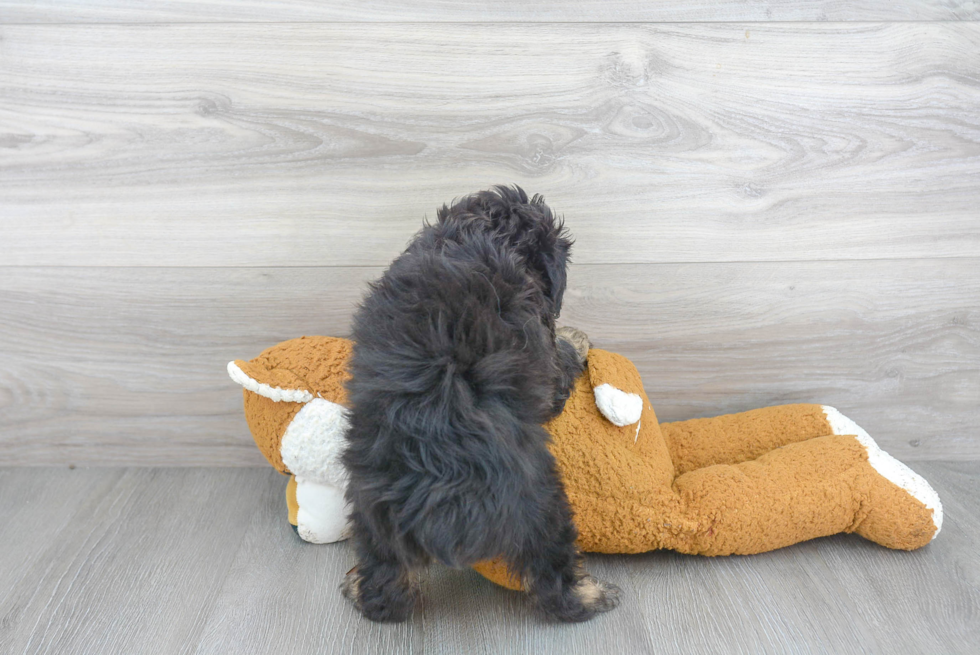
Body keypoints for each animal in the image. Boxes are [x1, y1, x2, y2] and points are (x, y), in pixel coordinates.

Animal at [342, 186, 620, 624]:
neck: (476, 237)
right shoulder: (546, 358)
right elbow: (563, 356)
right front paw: (578, 337)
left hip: (371, 510)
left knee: (383, 581)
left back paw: (360, 590)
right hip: (541, 501)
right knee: (554, 574)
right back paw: (591, 596)